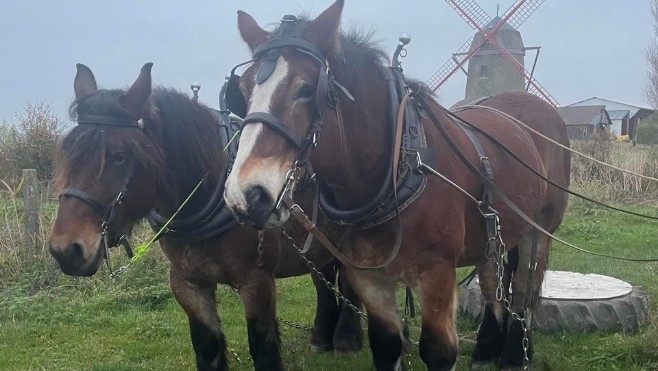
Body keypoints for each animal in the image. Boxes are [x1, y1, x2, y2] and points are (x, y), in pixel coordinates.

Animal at [48, 63, 362, 371]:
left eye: (119, 156)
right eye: (68, 151)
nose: (66, 250)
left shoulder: (256, 281)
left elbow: (264, 351)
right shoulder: (188, 283)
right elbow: (207, 349)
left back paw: (347, 338)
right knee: (323, 277)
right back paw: (322, 336)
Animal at [222, 1, 568, 370]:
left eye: (306, 89)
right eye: (242, 92)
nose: (246, 195)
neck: (398, 165)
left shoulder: (437, 273)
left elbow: (439, 351)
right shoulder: (368, 277)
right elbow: (386, 345)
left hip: (538, 233)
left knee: (524, 294)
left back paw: (515, 354)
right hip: (494, 234)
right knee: (493, 285)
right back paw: (487, 350)